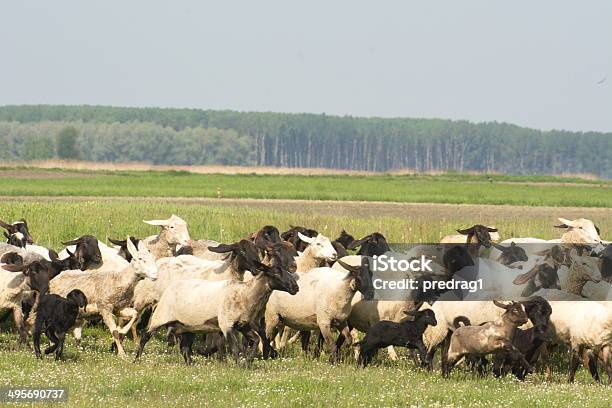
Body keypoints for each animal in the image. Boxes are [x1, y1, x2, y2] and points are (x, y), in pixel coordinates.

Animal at [137, 241, 302, 364]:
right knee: (143, 330)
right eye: (242, 251)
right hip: (153, 308)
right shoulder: (225, 322)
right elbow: (229, 344)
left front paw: (247, 360)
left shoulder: (244, 322)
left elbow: (253, 338)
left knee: (183, 342)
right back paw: (136, 356)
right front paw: (226, 359)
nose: (295, 287)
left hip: (185, 322)